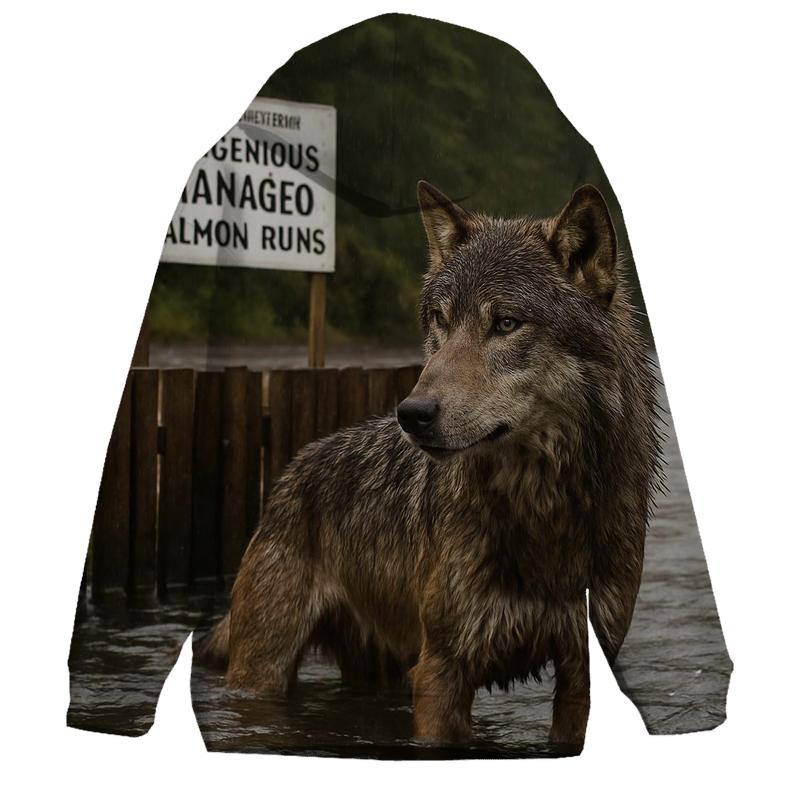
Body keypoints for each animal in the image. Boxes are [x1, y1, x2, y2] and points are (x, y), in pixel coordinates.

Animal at [197, 180, 662, 748]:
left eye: (505, 323)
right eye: (440, 320)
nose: (412, 414)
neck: (539, 509)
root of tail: (296, 466)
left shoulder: (585, 671)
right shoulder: (442, 671)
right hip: (265, 671)